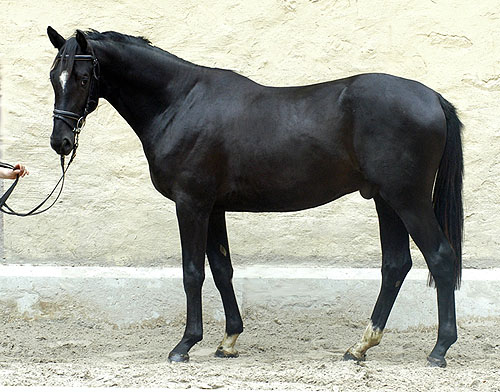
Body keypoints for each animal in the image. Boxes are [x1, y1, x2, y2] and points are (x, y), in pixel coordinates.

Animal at [47, 27, 464, 368]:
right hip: (386, 200)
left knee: (440, 257)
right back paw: (360, 346)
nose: (60, 142)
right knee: (395, 265)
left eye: (82, 77)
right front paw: (228, 340)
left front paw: (185, 344)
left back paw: (439, 349)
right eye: (54, 76)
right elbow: (221, 269)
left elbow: (192, 271)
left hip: (407, 200)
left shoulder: (191, 203)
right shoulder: (213, 207)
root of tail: (433, 98)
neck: (180, 102)